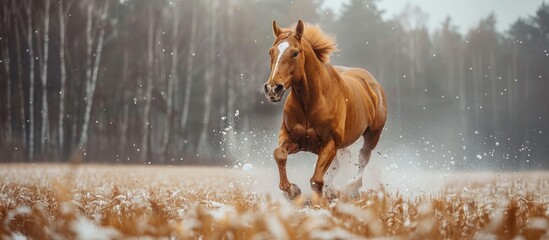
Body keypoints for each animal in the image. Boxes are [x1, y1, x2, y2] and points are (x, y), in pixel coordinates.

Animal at [262, 19, 386, 199]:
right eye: (271, 52)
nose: (273, 89)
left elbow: (316, 180)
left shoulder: (330, 144)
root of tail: (372, 83)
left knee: (363, 157)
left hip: (373, 134)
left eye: (295, 53)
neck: (310, 102)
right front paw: (292, 191)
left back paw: (352, 188)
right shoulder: (294, 139)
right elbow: (279, 154)